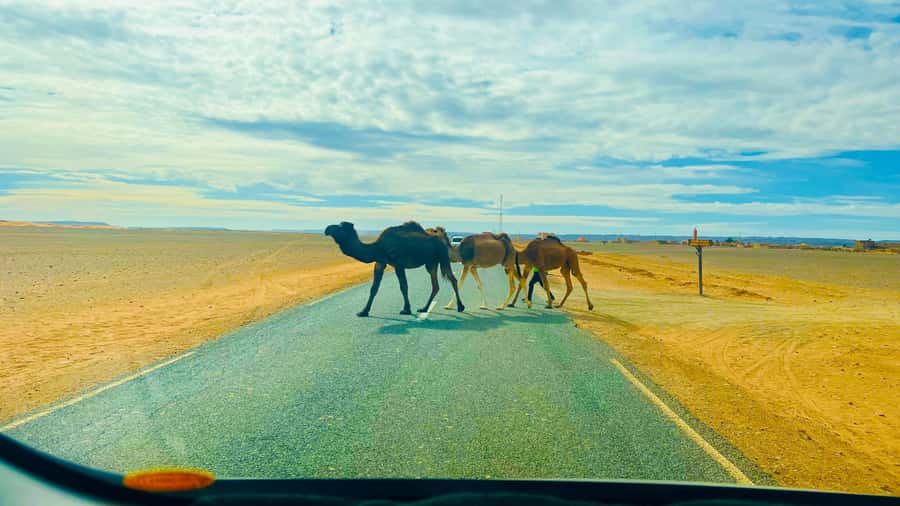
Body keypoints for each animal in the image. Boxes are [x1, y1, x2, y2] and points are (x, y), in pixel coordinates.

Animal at [324, 221, 465, 317]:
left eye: (341, 227)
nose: (327, 229)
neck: (378, 246)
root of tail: (442, 239)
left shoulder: (398, 264)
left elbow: (403, 286)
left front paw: (406, 309)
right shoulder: (380, 262)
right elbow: (374, 288)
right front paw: (363, 311)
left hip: (442, 258)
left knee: (452, 279)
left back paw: (460, 306)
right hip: (431, 263)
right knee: (435, 285)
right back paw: (424, 308)